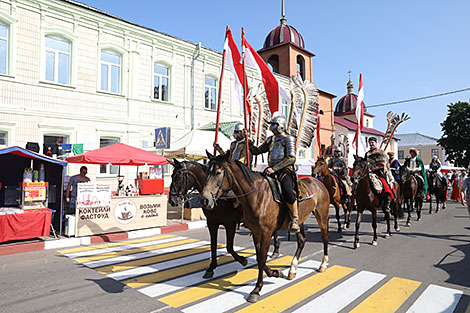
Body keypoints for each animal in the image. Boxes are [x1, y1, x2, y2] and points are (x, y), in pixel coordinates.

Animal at [200, 152, 328, 302]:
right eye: (206, 171)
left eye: (218, 172)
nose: (205, 200)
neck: (256, 195)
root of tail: (318, 182)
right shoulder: (255, 232)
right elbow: (258, 258)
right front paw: (275, 273)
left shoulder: (265, 232)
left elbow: (261, 258)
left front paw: (256, 289)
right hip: (300, 220)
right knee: (302, 240)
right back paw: (292, 269)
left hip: (322, 216)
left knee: (325, 238)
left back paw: (323, 264)